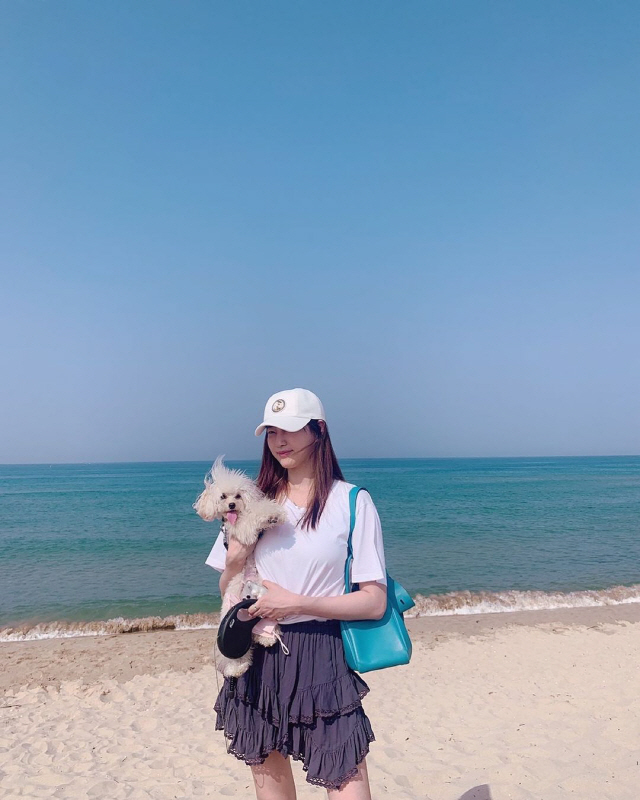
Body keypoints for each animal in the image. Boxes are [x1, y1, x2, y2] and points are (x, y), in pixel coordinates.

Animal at [194, 456, 286, 677]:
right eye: (223, 496)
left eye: (237, 495)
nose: (232, 504)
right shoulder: (241, 534)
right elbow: (249, 522)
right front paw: (267, 517)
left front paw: (272, 515)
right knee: (235, 656)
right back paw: (237, 668)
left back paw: (267, 638)